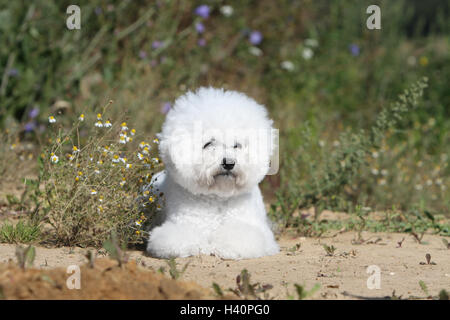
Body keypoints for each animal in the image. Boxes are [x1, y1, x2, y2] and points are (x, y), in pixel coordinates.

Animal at [145, 87, 278, 260]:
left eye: (237, 145)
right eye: (208, 144)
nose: (229, 163)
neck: (217, 198)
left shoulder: (250, 228)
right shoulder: (183, 225)